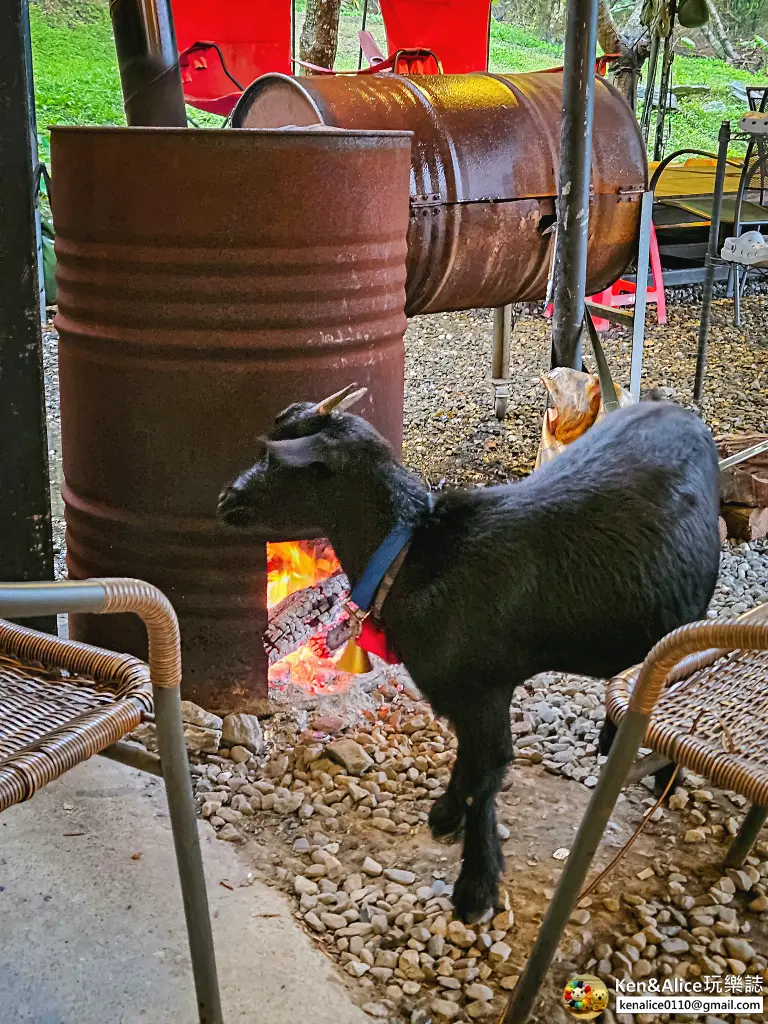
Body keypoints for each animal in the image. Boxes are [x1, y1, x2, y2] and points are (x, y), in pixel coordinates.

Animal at [219, 391, 724, 921]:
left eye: (275, 459)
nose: (225, 500)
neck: (412, 556)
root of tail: (685, 415)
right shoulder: (460, 693)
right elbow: (466, 761)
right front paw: (446, 815)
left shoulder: (482, 690)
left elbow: (485, 776)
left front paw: (476, 887)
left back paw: (662, 773)